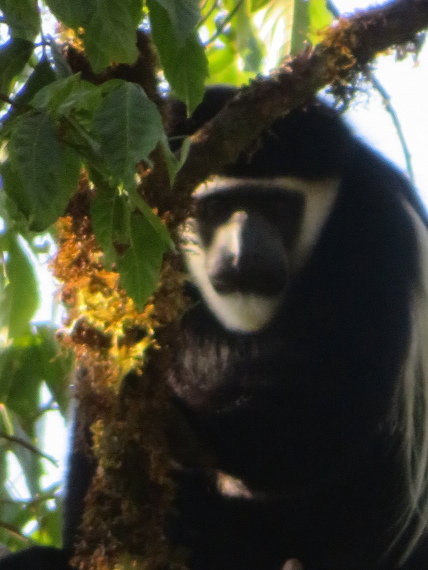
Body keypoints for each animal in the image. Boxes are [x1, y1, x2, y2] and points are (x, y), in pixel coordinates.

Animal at [2, 85, 428, 568]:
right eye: (218, 207)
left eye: (277, 206)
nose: (246, 256)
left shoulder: (377, 229)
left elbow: (331, 410)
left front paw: (187, 421)